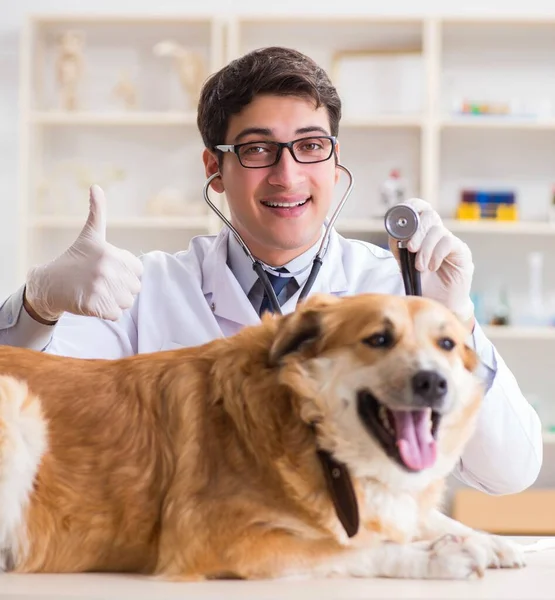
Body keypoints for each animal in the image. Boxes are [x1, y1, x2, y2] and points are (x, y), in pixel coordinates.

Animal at [0, 292, 524, 580]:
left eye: (447, 344)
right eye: (379, 339)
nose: (433, 382)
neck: (310, 430)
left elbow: (417, 518)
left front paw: (486, 539)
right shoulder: (218, 540)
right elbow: (348, 546)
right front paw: (437, 558)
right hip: (18, 407)